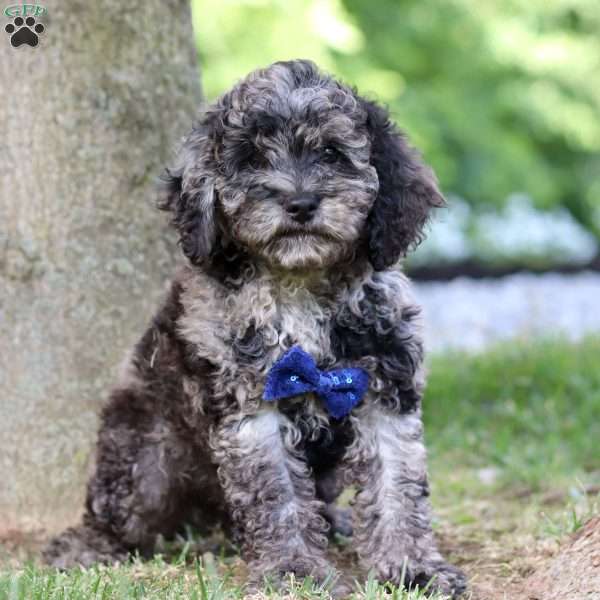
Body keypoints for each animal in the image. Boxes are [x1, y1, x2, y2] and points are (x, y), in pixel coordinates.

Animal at [44, 59, 468, 596]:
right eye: (250, 158)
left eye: (331, 153)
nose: (301, 203)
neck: (300, 285)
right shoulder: (252, 407)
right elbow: (278, 496)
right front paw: (295, 571)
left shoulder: (384, 390)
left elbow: (398, 486)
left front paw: (413, 567)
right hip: (145, 460)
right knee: (117, 512)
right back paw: (85, 546)